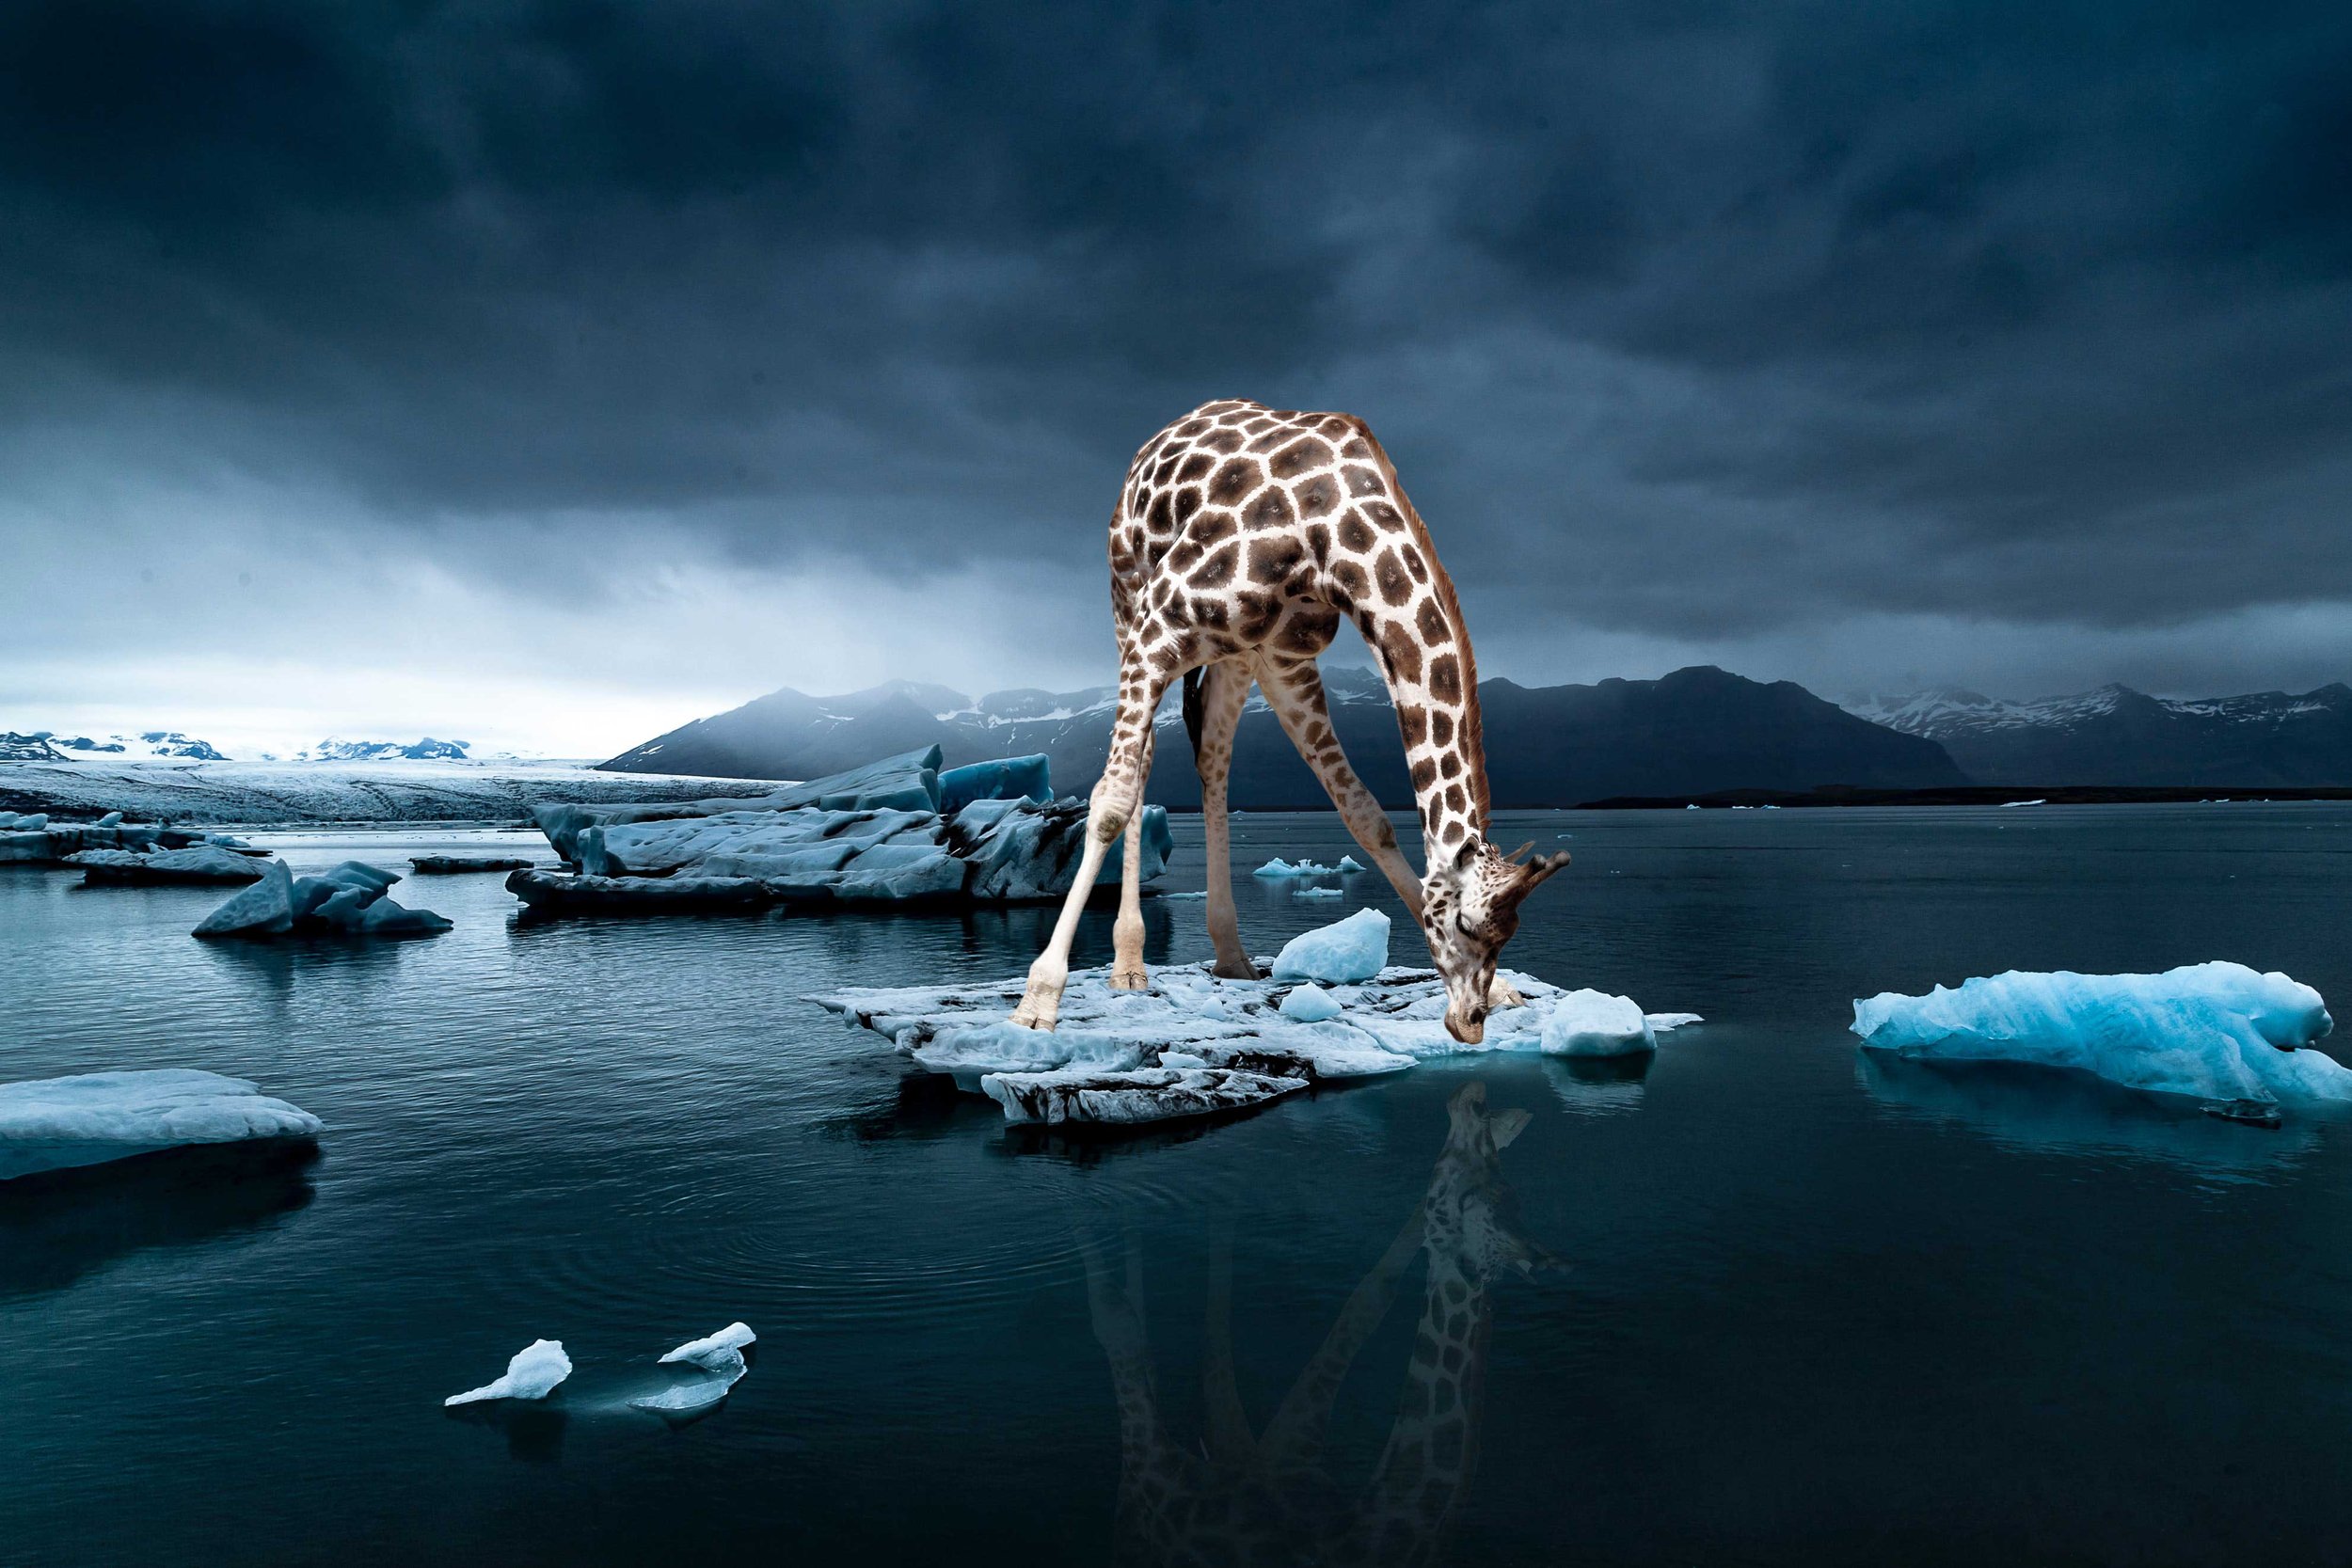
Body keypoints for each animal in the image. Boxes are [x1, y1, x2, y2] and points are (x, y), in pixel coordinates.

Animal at [1010, 398, 1570, 1044]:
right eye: (1469, 926)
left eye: (1510, 934)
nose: (1468, 1024)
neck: (1331, 540)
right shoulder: (1161, 622)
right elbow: (1112, 799)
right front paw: (1038, 999)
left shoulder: (1285, 662)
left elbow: (1366, 815)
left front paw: (1505, 991)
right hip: (1127, 595)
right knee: (1145, 758)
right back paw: (1129, 965)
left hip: (1234, 655)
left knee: (1211, 753)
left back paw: (1231, 955)